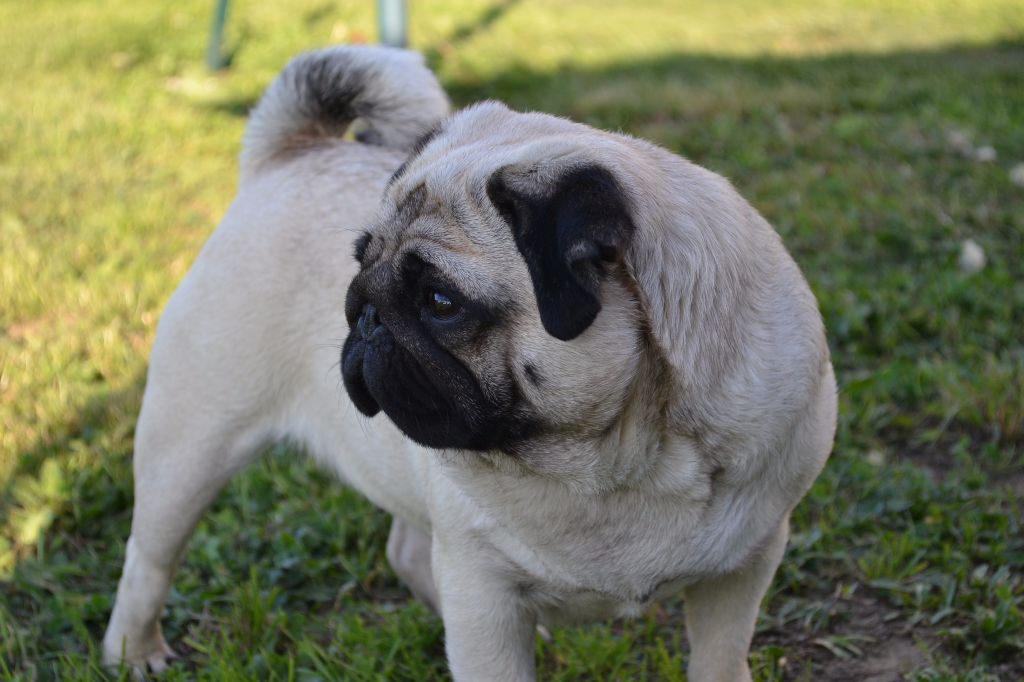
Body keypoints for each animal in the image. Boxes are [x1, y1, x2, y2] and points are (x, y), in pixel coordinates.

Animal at [103, 45, 839, 675]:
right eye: (360, 263)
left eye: (439, 301)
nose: (364, 312)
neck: (613, 457)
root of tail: (293, 152)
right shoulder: (481, 590)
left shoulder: (743, 568)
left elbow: (720, 658)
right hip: (190, 443)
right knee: (148, 558)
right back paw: (134, 652)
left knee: (407, 552)